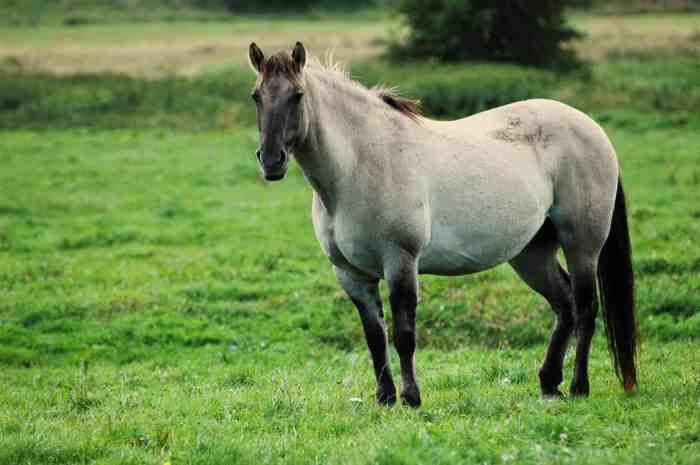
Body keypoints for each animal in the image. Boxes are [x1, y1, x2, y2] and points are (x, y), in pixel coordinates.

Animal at [249, 43, 636, 406]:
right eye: (256, 96)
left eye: (297, 95)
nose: (271, 161)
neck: (360, 164)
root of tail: (593, 129)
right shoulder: (351, 274)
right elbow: (375, 338)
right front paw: (385, 397)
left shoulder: (400, 261)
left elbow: (404, 335)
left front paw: (411, 397)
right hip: (532, 253)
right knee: (564, 305)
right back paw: (549, 383)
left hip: (582, 244)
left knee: (585, 308)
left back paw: (578, 386)